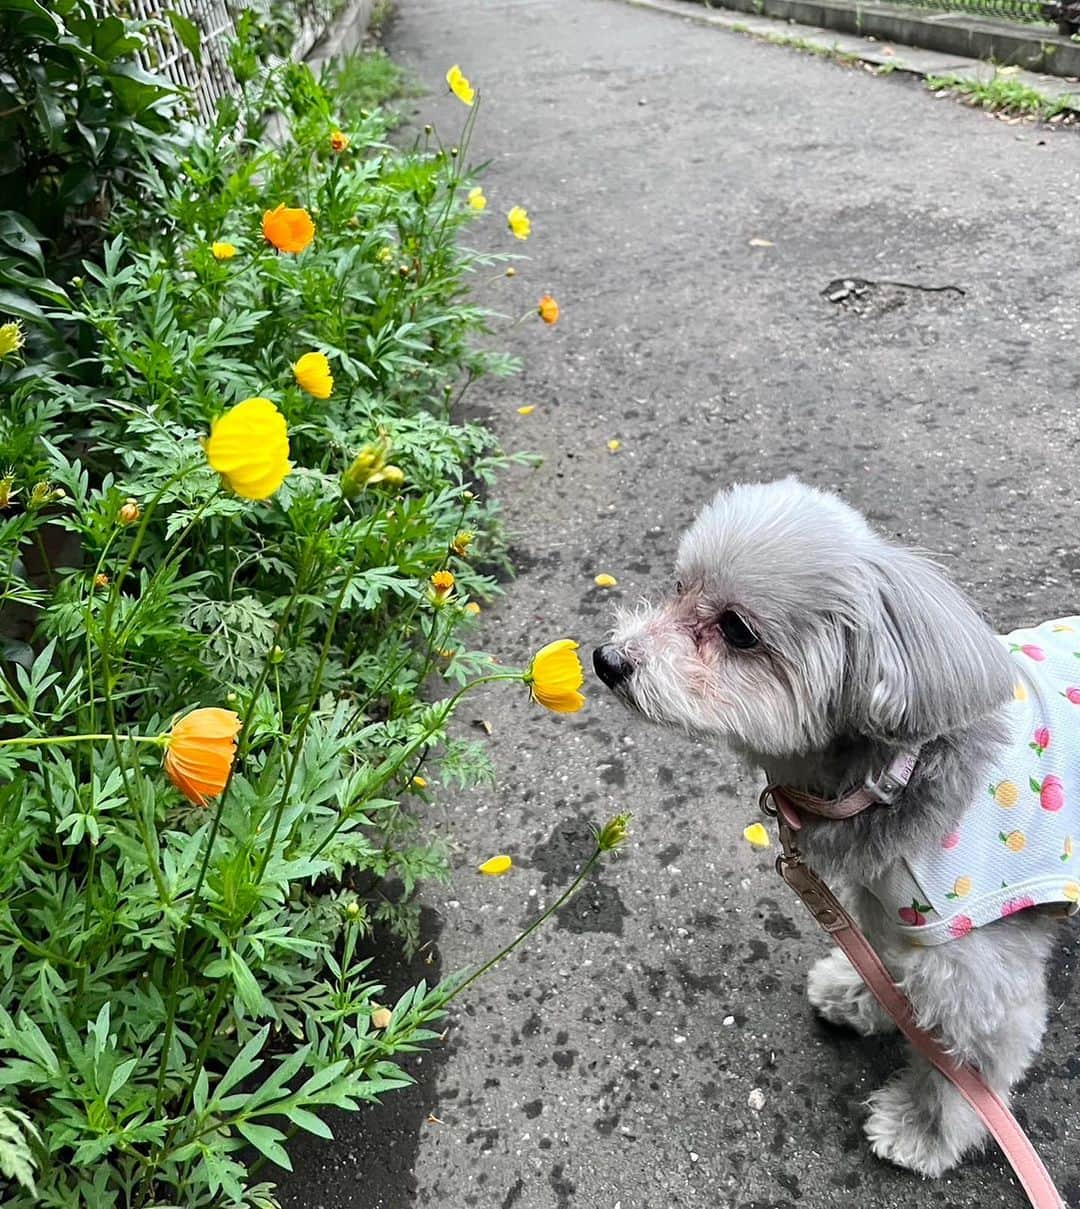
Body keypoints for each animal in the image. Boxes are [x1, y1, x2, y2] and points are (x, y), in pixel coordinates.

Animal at [595, 476, 1073, 1175]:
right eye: (679, 587)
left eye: (735, 629)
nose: (606, 659)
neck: (896, 769)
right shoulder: (889, 905)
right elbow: (881, 960)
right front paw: (861, 996)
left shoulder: (972, 965)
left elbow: (966, 1068)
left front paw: (924, 1130)